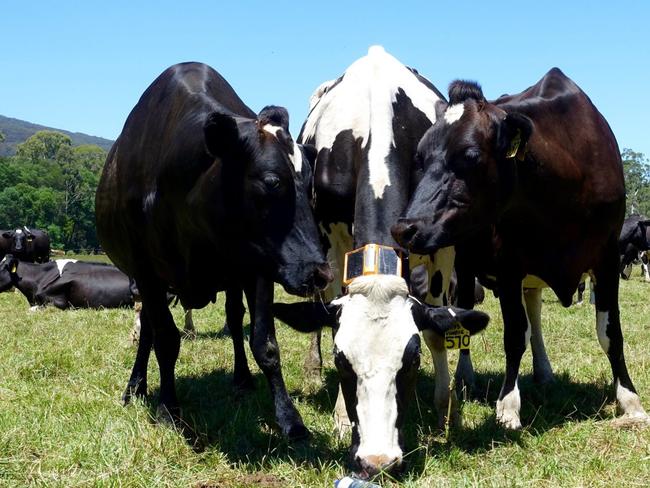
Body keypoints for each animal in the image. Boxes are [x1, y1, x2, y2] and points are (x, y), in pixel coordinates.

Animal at [95, 61, 334, 438]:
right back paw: (136, 387)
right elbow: (165, 339)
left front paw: (290, 419)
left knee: (235, 320)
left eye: (311, 185)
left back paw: (242, 379)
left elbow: (265, 344)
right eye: (271, 181)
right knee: (148, 330)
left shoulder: (258, 268)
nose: (320, 272)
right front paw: (168, 407)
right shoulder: (147, 272)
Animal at [268, 46, 486, 476]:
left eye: (411, 360)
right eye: (343, 361)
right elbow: (328, 312)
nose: (377, 461)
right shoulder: (334, 239)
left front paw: (444, 410)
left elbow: (439, 326)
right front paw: (339, 415)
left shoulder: (441, 243)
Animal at [392, 67, 644, 428]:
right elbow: (514, 334)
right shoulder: (508, 265)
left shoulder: (608, 258)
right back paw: (465, 377)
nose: (405, 228)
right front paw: (508, 406)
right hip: (464, 265)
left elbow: (610, 333)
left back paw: (544, 371)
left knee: (534, 311)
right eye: (420, 159)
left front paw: (630, 399)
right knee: (466, 310)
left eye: (470, 156)